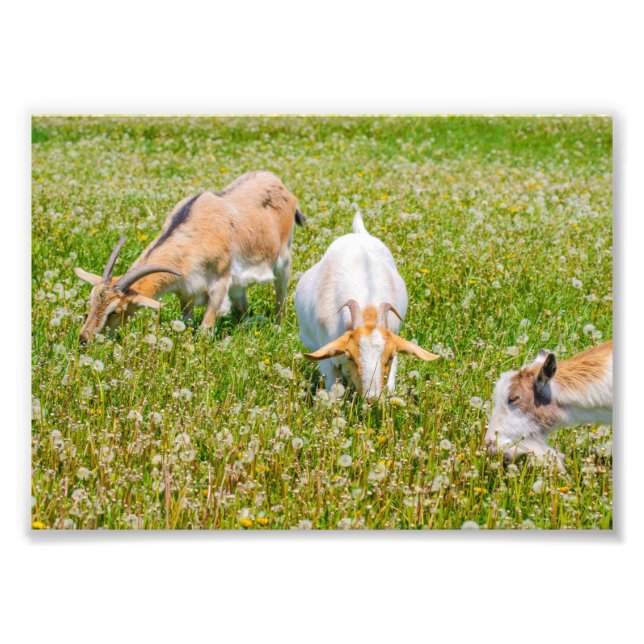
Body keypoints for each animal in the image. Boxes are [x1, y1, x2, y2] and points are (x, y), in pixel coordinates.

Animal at [74, 171, 304, 343]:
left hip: (284, 260)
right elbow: (187, 323)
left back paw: (279, 325)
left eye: (116, 311)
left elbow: (205, 330)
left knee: (281, 295)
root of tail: (278, 183)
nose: (84, 339)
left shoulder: (220, 284)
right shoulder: (185, 292)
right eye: (91, 300)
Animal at [295, 211, 439, 398]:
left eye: (389, 357)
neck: (367, 310)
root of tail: (358, 234)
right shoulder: (326, 356)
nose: (372, 397)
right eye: (351, 357)